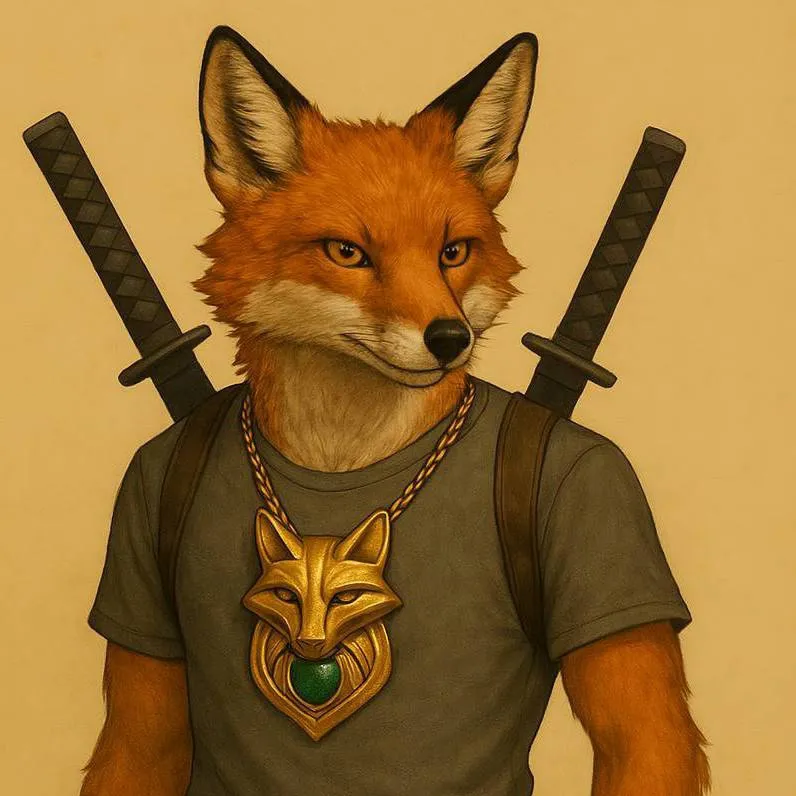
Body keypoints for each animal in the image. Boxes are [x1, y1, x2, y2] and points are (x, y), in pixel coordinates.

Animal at [81, 25, 710, 796]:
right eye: (348, 252)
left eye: (453, 252)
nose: (450, 339)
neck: (343, 455)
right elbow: (141, 744)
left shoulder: (600, 494)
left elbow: (640, 735)